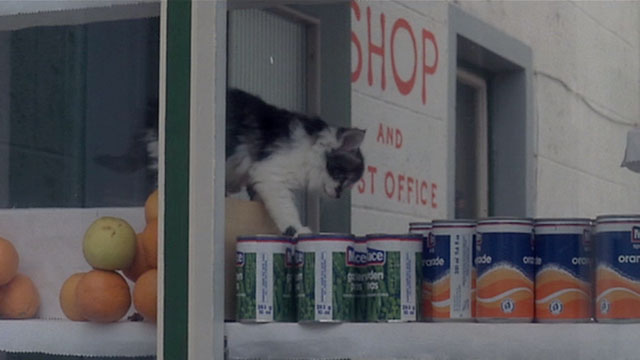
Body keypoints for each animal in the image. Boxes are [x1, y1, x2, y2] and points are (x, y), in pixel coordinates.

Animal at [94, 88, 364, 236]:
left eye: (348, 184)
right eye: (343, 178)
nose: (339, 195)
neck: (310, 148)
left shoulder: (256, 177)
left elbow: (256, 196)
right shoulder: (272, 175)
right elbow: (285, 209)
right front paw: (297, 230)